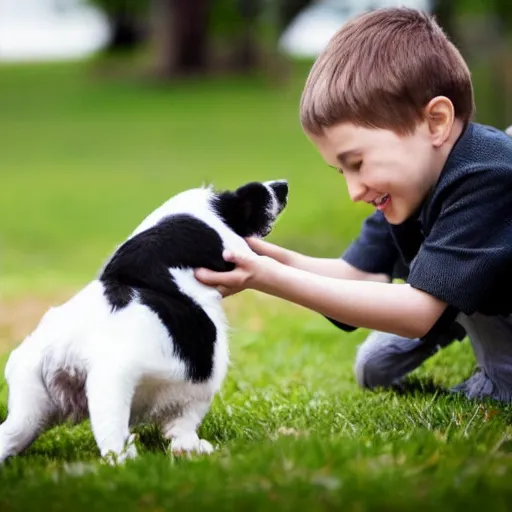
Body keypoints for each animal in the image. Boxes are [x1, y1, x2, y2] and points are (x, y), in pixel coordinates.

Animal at [0, 179, 288, 464]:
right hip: (109, 390)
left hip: (29, 404)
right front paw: (191, 448)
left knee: (10, 434)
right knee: (114, 447)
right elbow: (183, 421)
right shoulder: (201, 376)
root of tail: (64, 349)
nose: (283, 185)